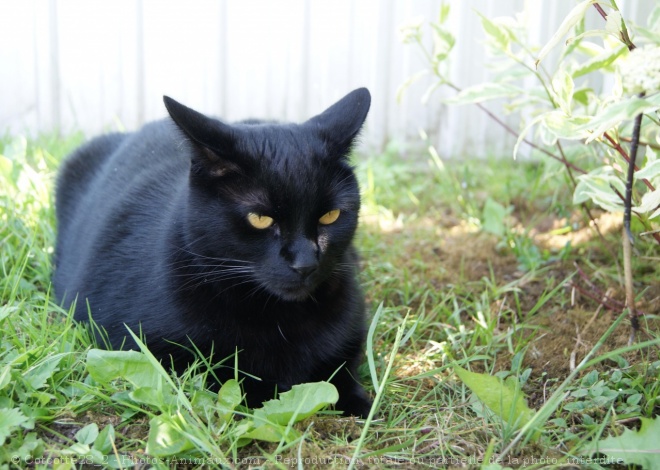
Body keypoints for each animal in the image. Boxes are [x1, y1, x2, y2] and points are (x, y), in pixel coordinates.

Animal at [54, 87, 374, 414]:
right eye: (260, 219)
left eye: (330, 216)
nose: (305, 263)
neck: (280, 320)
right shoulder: (139, 344)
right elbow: (226, 374)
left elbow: (339, 372)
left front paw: (356, 402)